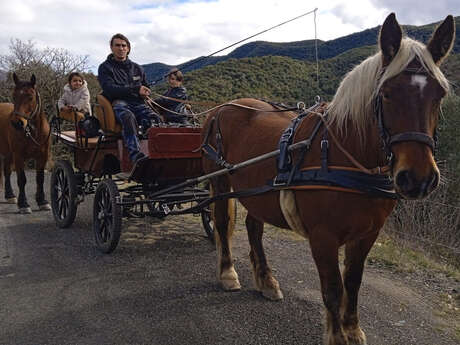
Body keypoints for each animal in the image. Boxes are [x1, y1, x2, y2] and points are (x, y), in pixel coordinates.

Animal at [0, 73, 51, 212]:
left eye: (30, 97)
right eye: (14, 96)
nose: (17, 123)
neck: (32, 132)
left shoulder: (42, 156)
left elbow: (40, 178)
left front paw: (42, 201)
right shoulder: (18, 156)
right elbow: (22, 179)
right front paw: (24, 204)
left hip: (8, 153)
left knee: (6, 170)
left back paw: (10, 195)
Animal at [202, 13, 456, 344]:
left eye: (439, 95)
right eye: (386, 94)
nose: (418, 178)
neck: (345, 154)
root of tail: (222, 108)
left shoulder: (367, 234)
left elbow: (354, 283)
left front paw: (353, 329)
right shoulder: (323, 237)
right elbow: (333, 288)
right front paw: (337, 335)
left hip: (255, 190)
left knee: (254, 228)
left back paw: (266, 280)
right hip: (220, 181)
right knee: (221, 223)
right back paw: (228, 273)